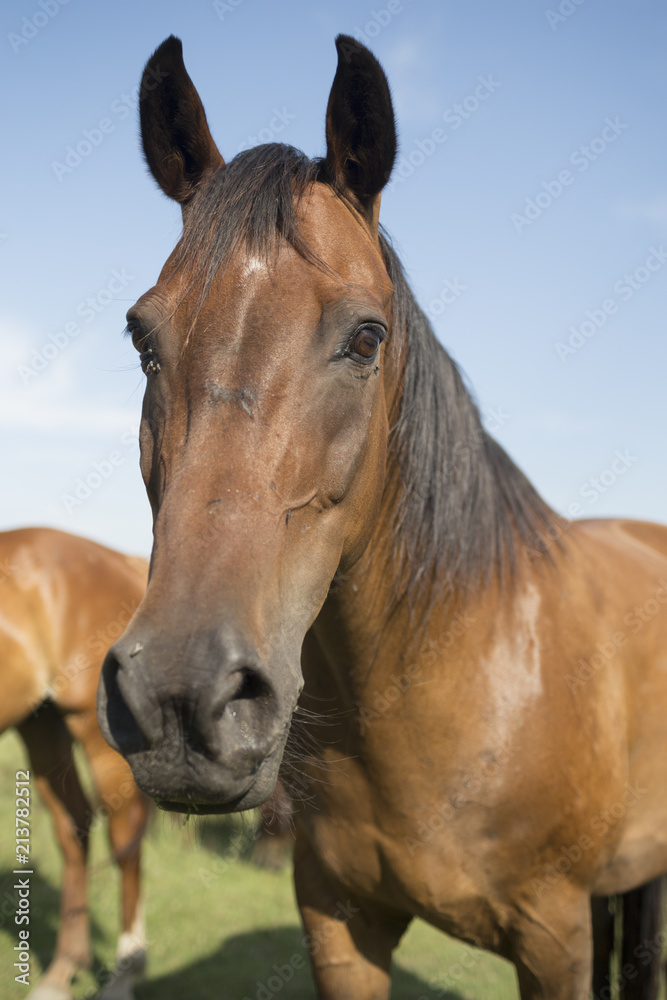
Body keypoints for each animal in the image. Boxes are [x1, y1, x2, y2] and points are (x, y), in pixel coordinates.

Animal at [0, 527, 149, 1000]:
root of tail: (123, 560)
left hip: (99, 741)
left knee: (125, 841)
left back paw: (125, 972)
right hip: (42, 724)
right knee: (74, 827)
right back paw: (62, 970)